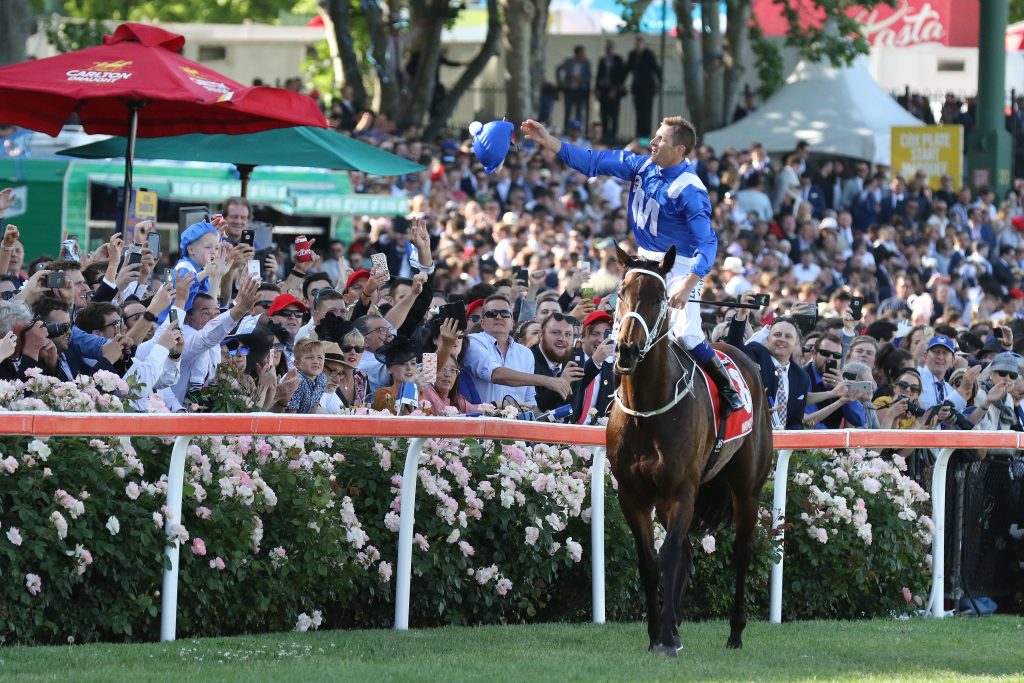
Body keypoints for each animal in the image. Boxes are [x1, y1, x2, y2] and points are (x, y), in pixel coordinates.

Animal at [607, 244, 773, 656]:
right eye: (621, 293)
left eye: (660, 298)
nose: (626, 351)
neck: (648, 411)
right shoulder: (632, 494)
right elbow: (650, 562)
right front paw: (659, 633)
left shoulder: (682, 489)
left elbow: (667, 558)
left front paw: (665, 637)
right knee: (686, 550)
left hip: (746, 488)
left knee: (741, 553)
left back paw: (735, 632)